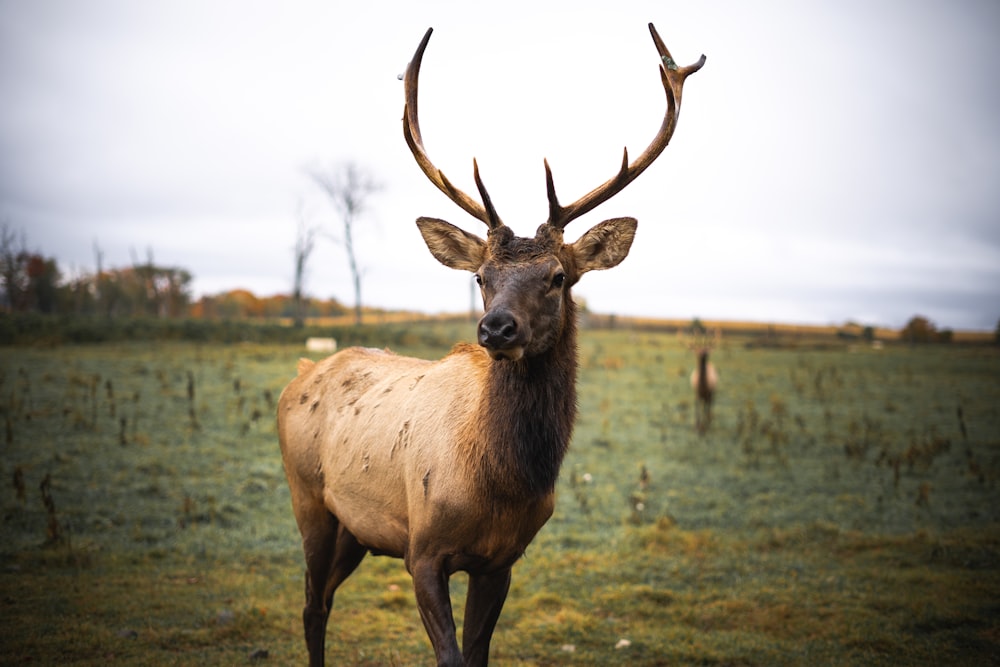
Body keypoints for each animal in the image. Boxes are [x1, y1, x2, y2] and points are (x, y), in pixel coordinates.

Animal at [278, 23, 708, 664]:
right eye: (480, 277)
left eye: (558, 276)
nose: (496, 329)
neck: (496, 486)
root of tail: (302, 372)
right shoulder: (422, 551)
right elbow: (451, 654)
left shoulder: (502, 561)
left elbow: (479, 652)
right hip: (309, 501)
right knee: (311, 606)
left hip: (355, 528)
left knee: (321, 600)